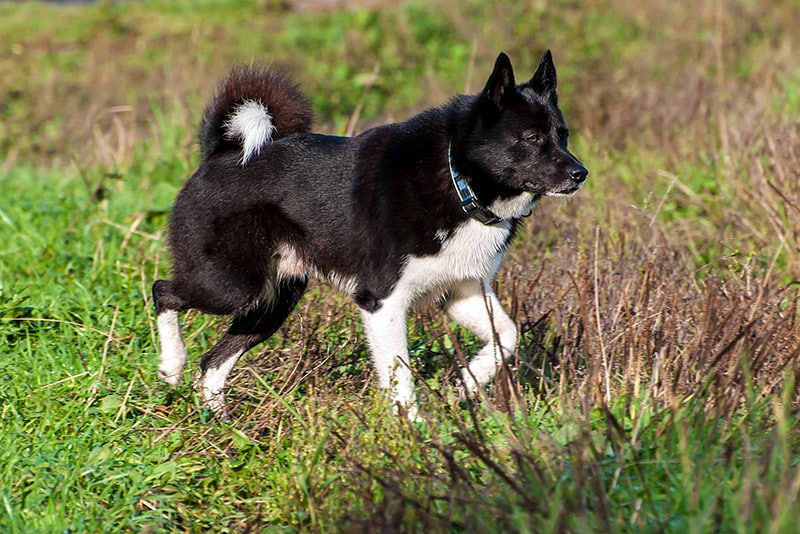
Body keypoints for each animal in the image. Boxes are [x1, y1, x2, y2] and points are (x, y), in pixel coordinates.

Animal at [152, 52, 588, 422]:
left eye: (563, 134)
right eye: (531, 138)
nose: (580, 173)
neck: (459, 179)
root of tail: (222, 153)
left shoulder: (461, 292)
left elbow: (507, 338)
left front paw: (462, 386)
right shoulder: (382, 302)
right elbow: (400, 375)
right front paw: (414, 433)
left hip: (274, 302)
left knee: (212, 362)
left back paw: (219, 421)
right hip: (231, 286)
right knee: (162, 292)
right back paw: (172, 365)